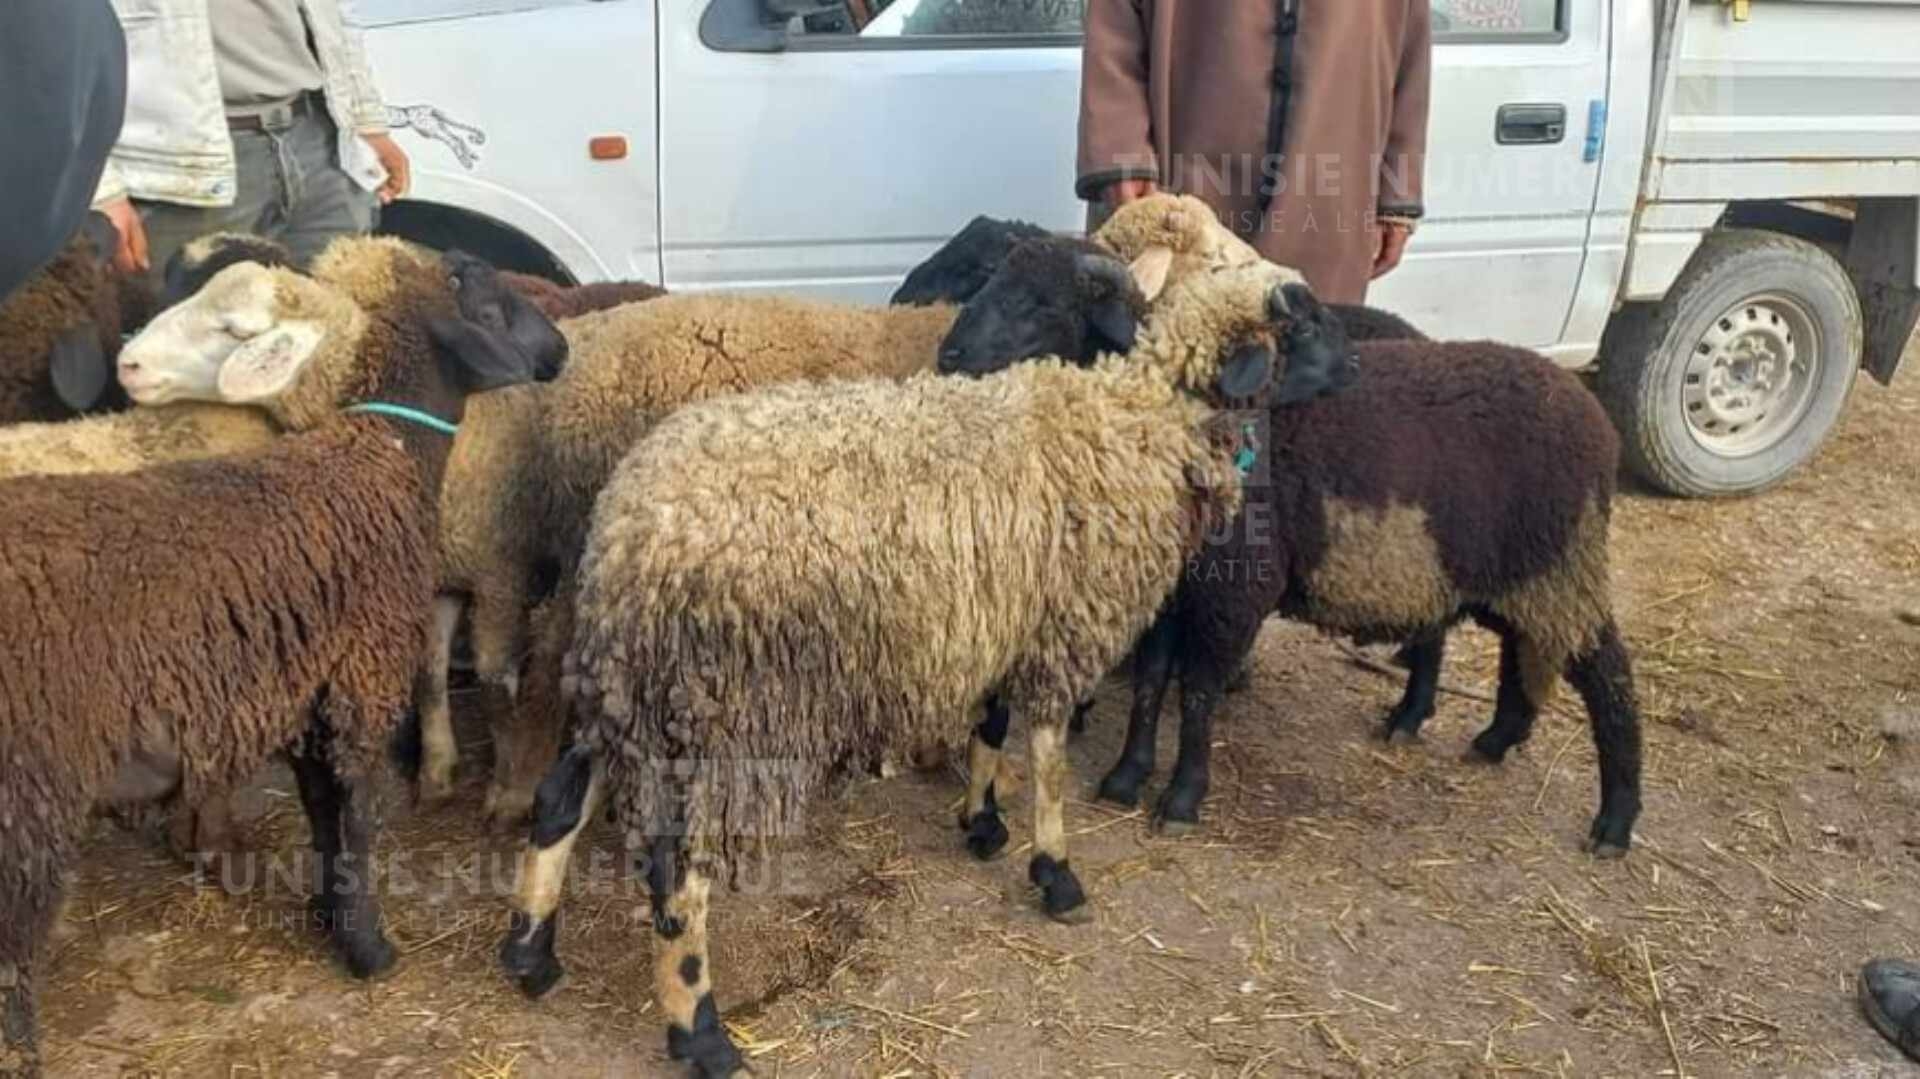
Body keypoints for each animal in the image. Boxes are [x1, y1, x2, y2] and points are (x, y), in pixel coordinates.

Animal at [0, 237, 549, 1075]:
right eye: (487, 304)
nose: (559, 352)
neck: (381, 451)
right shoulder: (360, 683)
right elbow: (359, 817)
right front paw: (369, 946)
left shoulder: (303, 697)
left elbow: (322, 812)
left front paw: (328, 912)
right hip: (28, 791)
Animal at [487, 255, 1344, 1067]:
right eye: (1301, 324)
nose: (1355, 366)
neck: (1134, 418)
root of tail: (630, 526)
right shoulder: (1061, 629)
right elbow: (1050, 759)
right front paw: (1056, 871)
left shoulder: (1001, 619)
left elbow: (992, 726)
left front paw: (982, 820)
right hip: (727, 707)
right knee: (679, 868)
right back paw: (700, 1031)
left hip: (633, 685)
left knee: (562, 798)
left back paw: (531, 955)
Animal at [944, 270, 1651, 856]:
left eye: (1043, 303)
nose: (951, 356)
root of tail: (1593, 419)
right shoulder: (1178, 592)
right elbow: (1150, 680)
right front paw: (1126, 776)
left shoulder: (1234, 591)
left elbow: (1197, 692)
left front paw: (1181, 797)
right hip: (1509, 575)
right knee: (1521, 649)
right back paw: (1487, 737)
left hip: (1559, 566)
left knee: (1607, 673)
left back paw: (1614, 822)